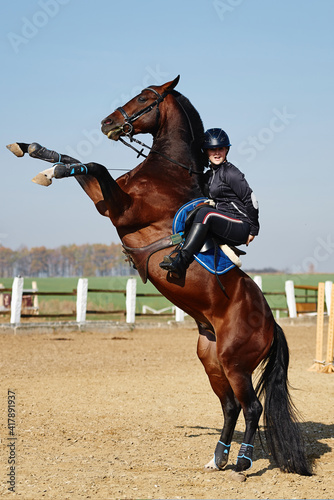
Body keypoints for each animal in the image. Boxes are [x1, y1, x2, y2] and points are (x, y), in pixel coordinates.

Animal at [6, 75, 312, 480]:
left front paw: (50, 170)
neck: (168, 172)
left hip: (235, 362)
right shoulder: (107, 203)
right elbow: (78, 163)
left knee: (252, 408)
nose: (106, 123)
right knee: (230, 407)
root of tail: (271, 323)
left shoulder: (120, 209)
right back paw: (217, 458)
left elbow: (94, 165)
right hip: (211, 357)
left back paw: (242, 462)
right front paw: (34, 151)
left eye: (144, 99)